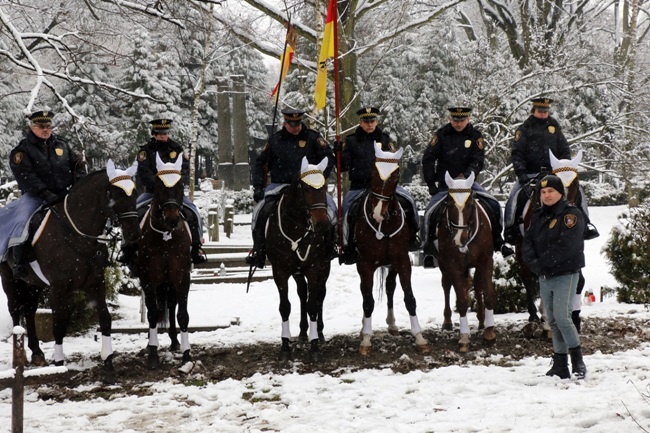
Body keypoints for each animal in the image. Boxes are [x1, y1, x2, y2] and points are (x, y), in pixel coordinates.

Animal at [0, 159, 139, 382]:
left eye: (134, 192)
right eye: (116, 194)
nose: (134, 233)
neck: (77, 233)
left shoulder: (96, 283)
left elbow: (105, 319)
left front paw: (108, 363)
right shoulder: (58, 288)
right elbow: (59, 323)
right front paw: (59, 364)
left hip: (33, 284)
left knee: (29, 311)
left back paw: (37, 353)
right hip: (10, 279)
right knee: (15, 311)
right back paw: (19, 358)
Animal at [137, 154, 192, 370]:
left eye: (181, 185)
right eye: (159, 185)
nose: (172, 219)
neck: (166, 237)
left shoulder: (182, 277)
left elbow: (182, 315)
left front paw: (187, 355)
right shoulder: (148, 279)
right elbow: (152, 314)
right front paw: (153, 353)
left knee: (171, 305)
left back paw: (175, 341)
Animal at [264, 155, 332, 362]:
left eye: (325, 188)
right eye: (307, 189)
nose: (322, 225)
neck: (296, 227)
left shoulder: (316, 268)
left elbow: (313, 305)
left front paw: (315, 344)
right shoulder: (280, 271)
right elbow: (285, 306)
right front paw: (285, 345)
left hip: (323, 269)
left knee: (319, 296)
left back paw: (319, 331)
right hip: (297, 273)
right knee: (302, 293)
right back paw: (302, 332)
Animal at [352, 143, 428, 356]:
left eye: (396, 175)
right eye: (373, 172)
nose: (378, 213)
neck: (384, 225)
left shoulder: (402, 260)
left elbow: (409, 298)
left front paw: (419, 337)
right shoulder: (365, 263)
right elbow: (368, 301)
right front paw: (366, 339)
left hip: (392, 264)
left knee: (390, 286)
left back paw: (392, 323)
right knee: (365, 291)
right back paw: (364, 327)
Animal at [436, 171, 496, 352]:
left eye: (470, 203)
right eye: (449, 203)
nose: (459, 239)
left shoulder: (485, 261)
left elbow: (488, 294)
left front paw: (490, 333)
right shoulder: (453, 265)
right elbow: (461, 300)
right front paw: (464, 338)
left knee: (477, 284)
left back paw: (482, 319)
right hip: (443, 265)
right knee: (447, 286)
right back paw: (447, 321)